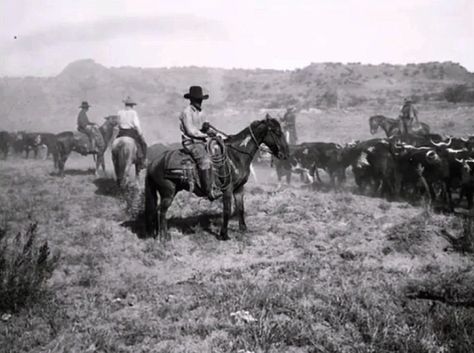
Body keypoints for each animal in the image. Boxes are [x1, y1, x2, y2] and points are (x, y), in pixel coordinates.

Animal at [144, 117, 288, 241]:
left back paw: (160, 235)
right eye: (277, 132)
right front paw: (224, 235)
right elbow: (227, 210)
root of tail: (153, 163)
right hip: (168, 193)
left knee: (158, 212)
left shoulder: (239, 188)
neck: (236, 156)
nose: (285, 154)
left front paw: (243, 229)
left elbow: (240, 208)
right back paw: (164, 237)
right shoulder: (227, 189)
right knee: (161, 212)